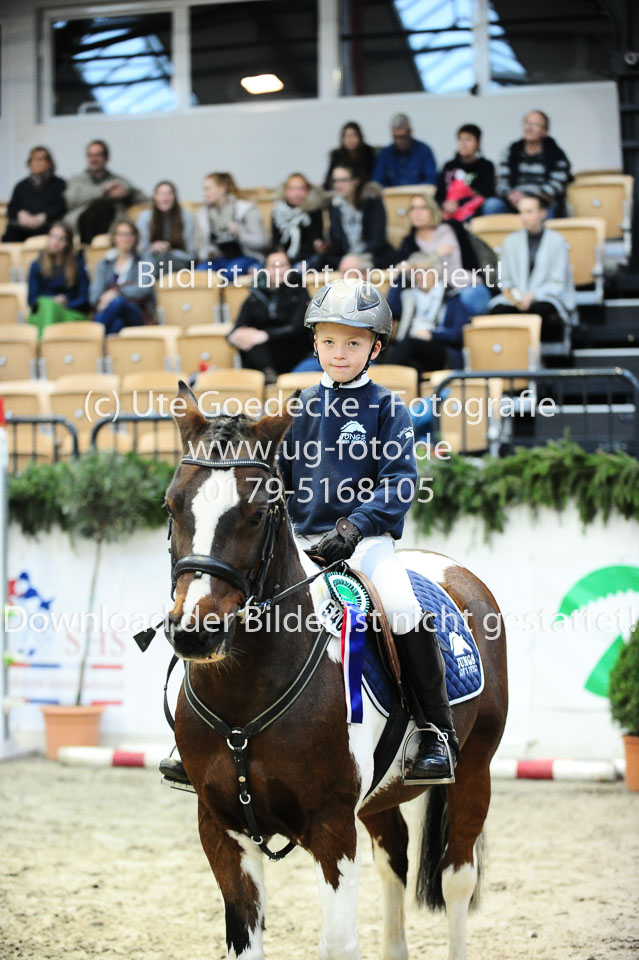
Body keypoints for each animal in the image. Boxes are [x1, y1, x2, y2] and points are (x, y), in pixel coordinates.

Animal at [163, 382, 508, 960]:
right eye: (171, 504)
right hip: (380, 797)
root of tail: (454, 570)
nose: (195, 632)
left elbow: (340, 943)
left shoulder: (331, 827)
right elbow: (245, 941)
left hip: (474, 767)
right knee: (395, 860)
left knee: (457, 876)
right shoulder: (220, 828)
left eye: (258, 513)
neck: (247, 693)